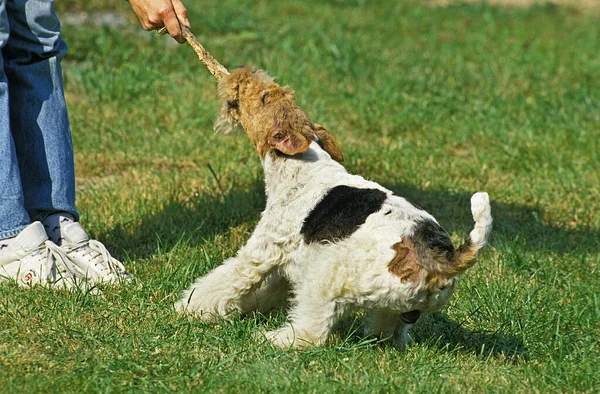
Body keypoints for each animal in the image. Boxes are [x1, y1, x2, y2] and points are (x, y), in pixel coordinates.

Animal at [173, 66, 492, 350]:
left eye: (264, 97)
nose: (242, 72)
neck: (301, 165)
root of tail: (446, 259)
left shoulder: (264, 250)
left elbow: (225, 279)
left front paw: (189, 307)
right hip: (394, 305)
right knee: (389, 332)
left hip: (329, 276)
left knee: (311, 332)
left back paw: (274, 339)